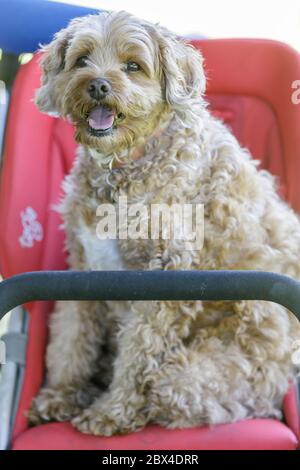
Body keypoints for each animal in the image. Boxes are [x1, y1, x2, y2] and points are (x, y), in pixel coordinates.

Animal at [29, 11, 300, 436]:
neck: (124, 163)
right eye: (82, 59)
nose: (98, 84)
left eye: (133, 66)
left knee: (169, 395)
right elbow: (71, 337)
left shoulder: (165, 280)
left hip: (189, 376)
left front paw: (110, 412)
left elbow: (138, 352)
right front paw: (61, 394)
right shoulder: (83, 267)